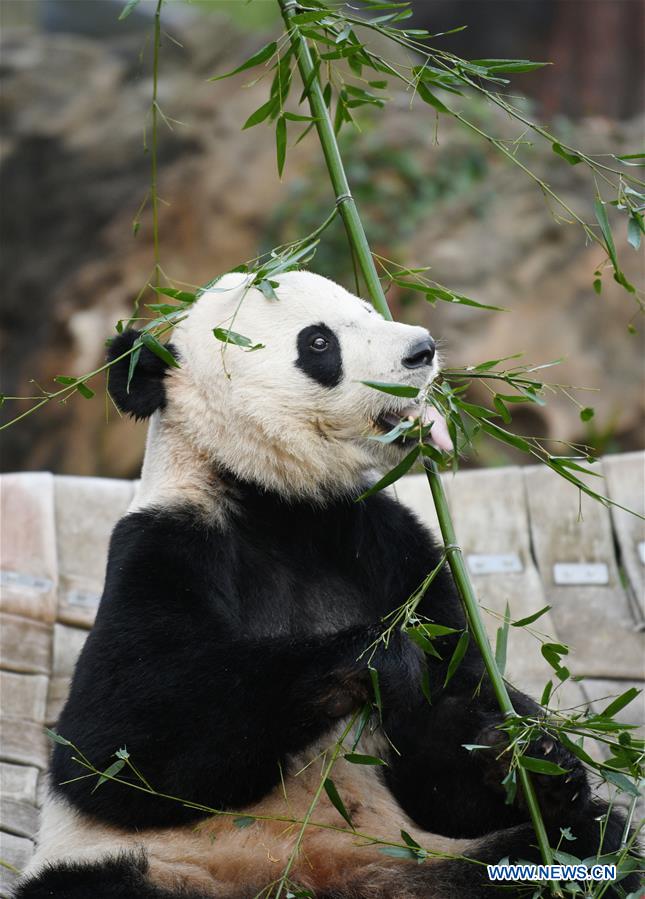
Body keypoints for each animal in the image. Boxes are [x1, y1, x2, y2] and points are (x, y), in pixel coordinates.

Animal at [16, 271, 637, 899]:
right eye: (318, 343)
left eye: (367, 308)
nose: (422, 350)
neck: (281, 506)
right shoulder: (165, 544)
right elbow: (115, 744)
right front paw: (377, 657)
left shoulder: (390, 550)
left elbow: (448, 741)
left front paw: (530, 758)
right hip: (148, 861)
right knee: (94, 882)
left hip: (427, 855)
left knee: (585, 844)